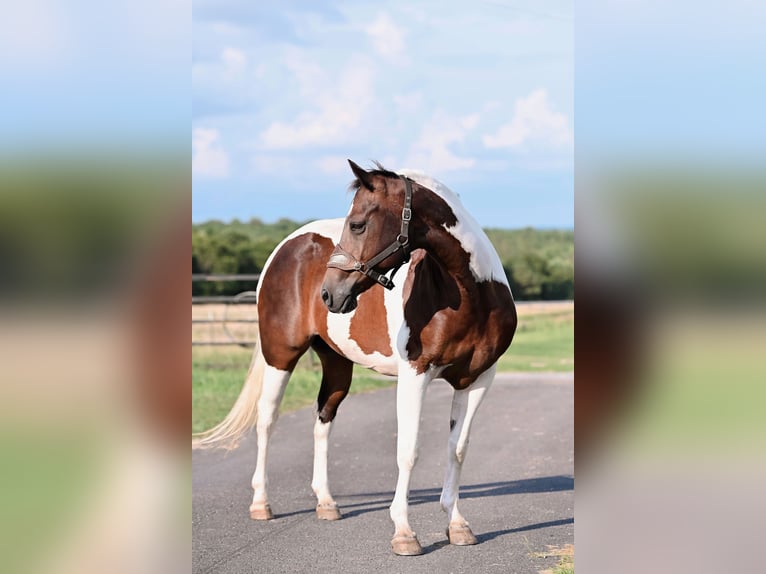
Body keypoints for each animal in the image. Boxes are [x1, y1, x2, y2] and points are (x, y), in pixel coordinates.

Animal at [195, 162, 520, 560]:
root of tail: (286, 247)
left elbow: (457, 449)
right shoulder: (416, 375)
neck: (471, 294)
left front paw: (458, 525)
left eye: (358, 225)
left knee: (323, 420)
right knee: (266, 420)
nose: (329, 294)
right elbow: (408, 451)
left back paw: (326, 503)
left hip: (336, 363)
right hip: (280, 356)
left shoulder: (478, 379)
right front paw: (404, 532)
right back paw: (261, 503)